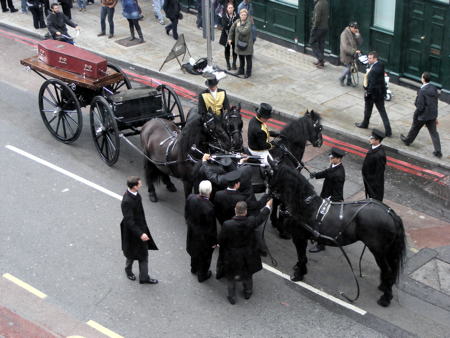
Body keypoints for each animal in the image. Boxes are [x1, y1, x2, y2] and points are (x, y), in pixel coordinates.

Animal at [268, 164, 406, 306]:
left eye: (271, 175)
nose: (269, 193)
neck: (305, 206)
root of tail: (391, 214)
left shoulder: (299, 237)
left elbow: (302, 257)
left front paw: (298, 274)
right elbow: (301, 258)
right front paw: (299, 269)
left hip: (378, 251)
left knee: (388, 270)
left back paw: (386, 298)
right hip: (386, 251)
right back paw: (384, 286)